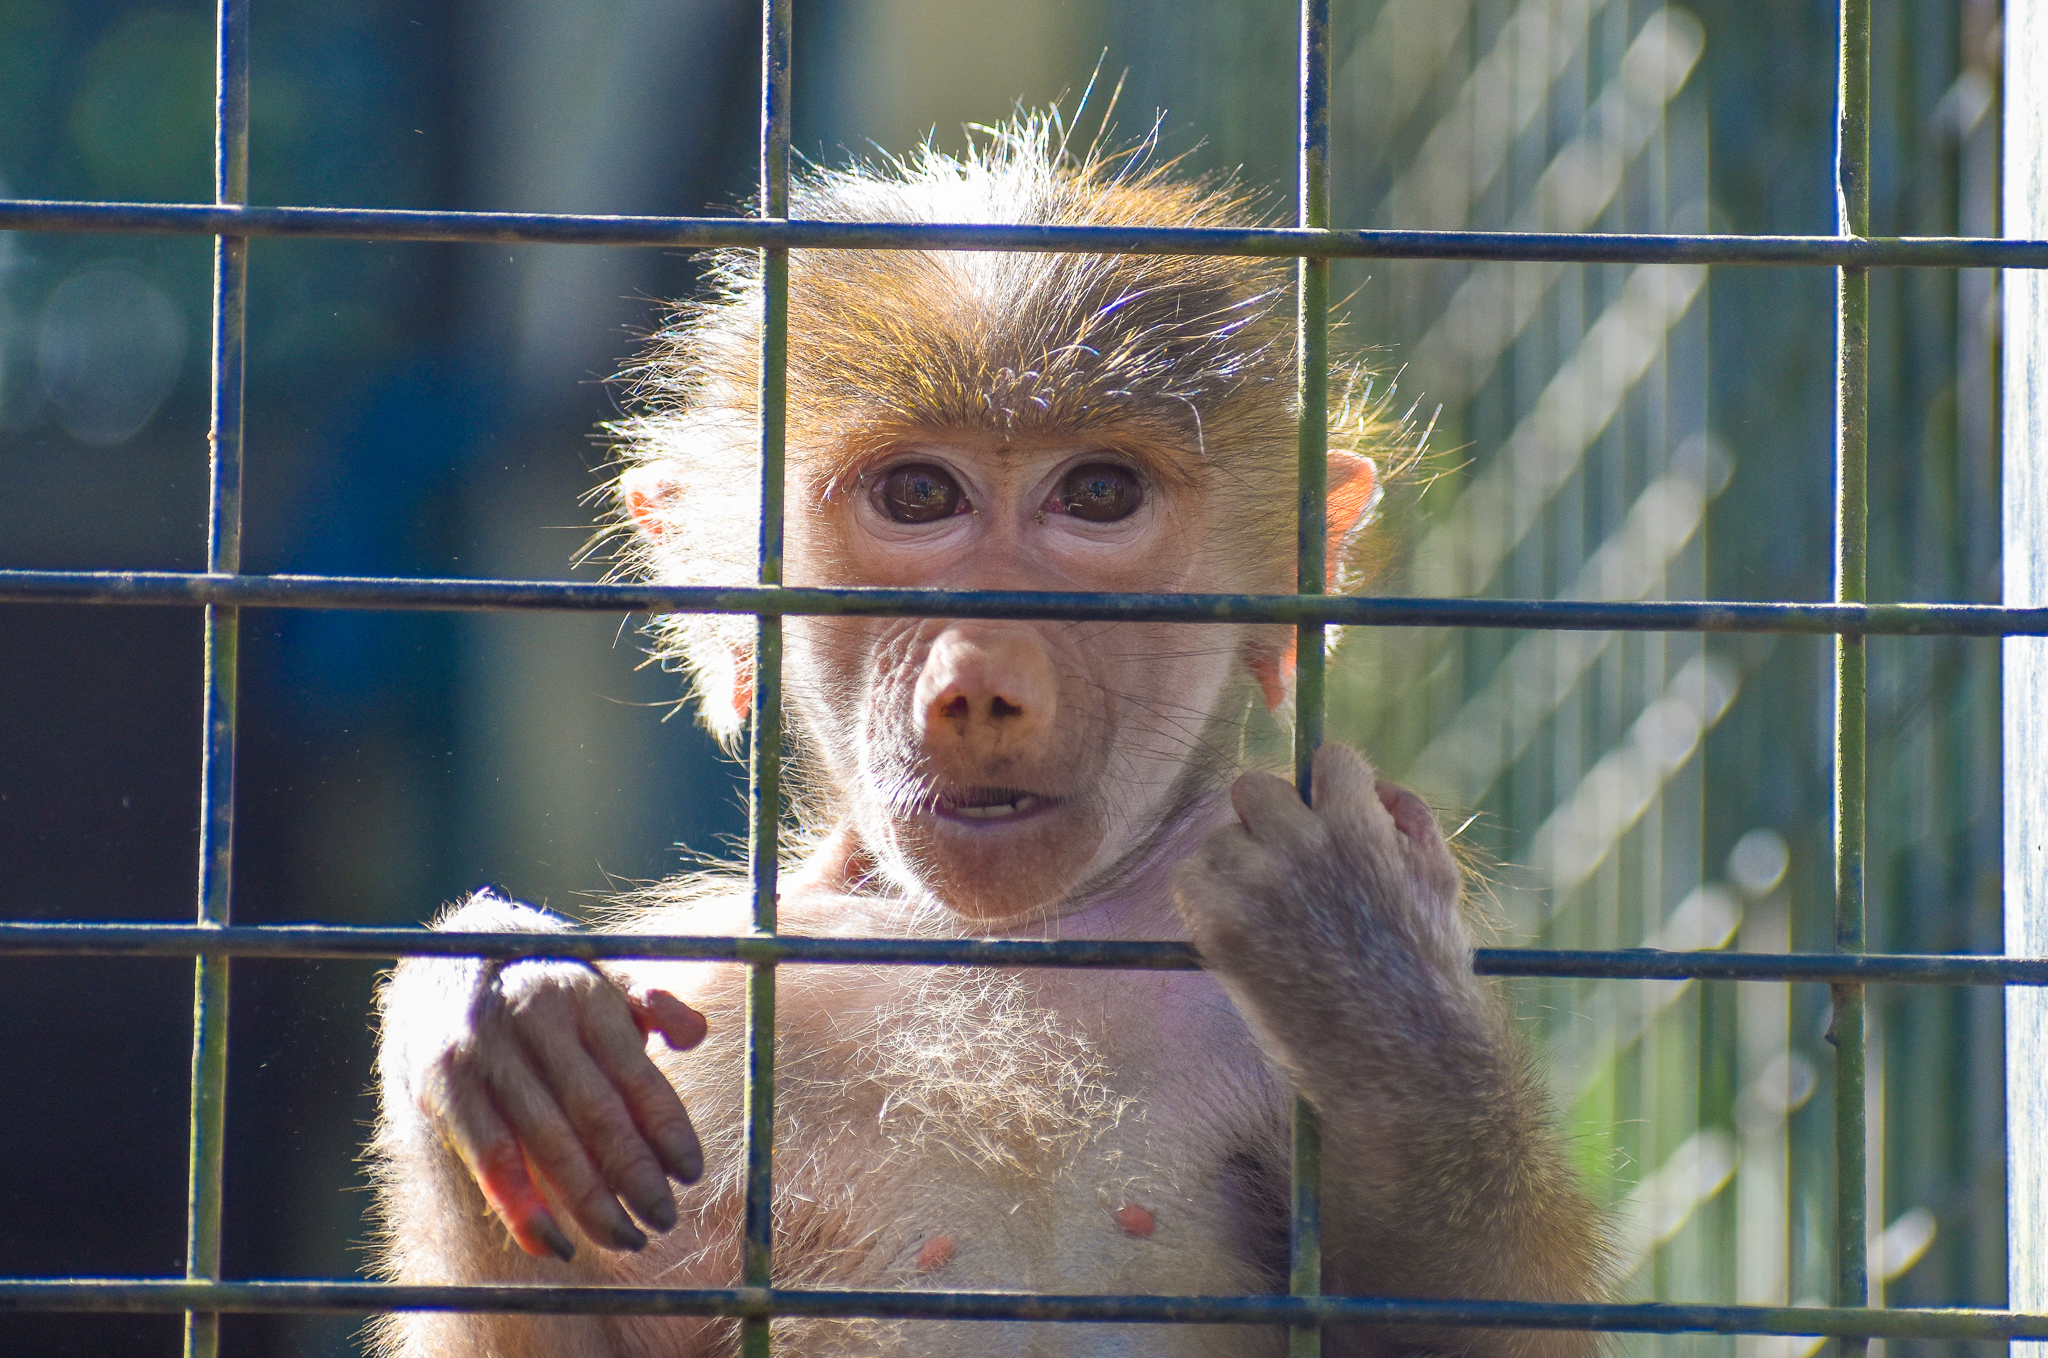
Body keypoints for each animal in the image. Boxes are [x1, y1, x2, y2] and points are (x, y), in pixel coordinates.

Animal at [367, 117, 1608, 1358]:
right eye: (919, 494)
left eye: (1097, 493)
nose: (980, 680)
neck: (1008, 939)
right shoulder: (704, 993)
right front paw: (498, 1001)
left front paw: (1375, 993)